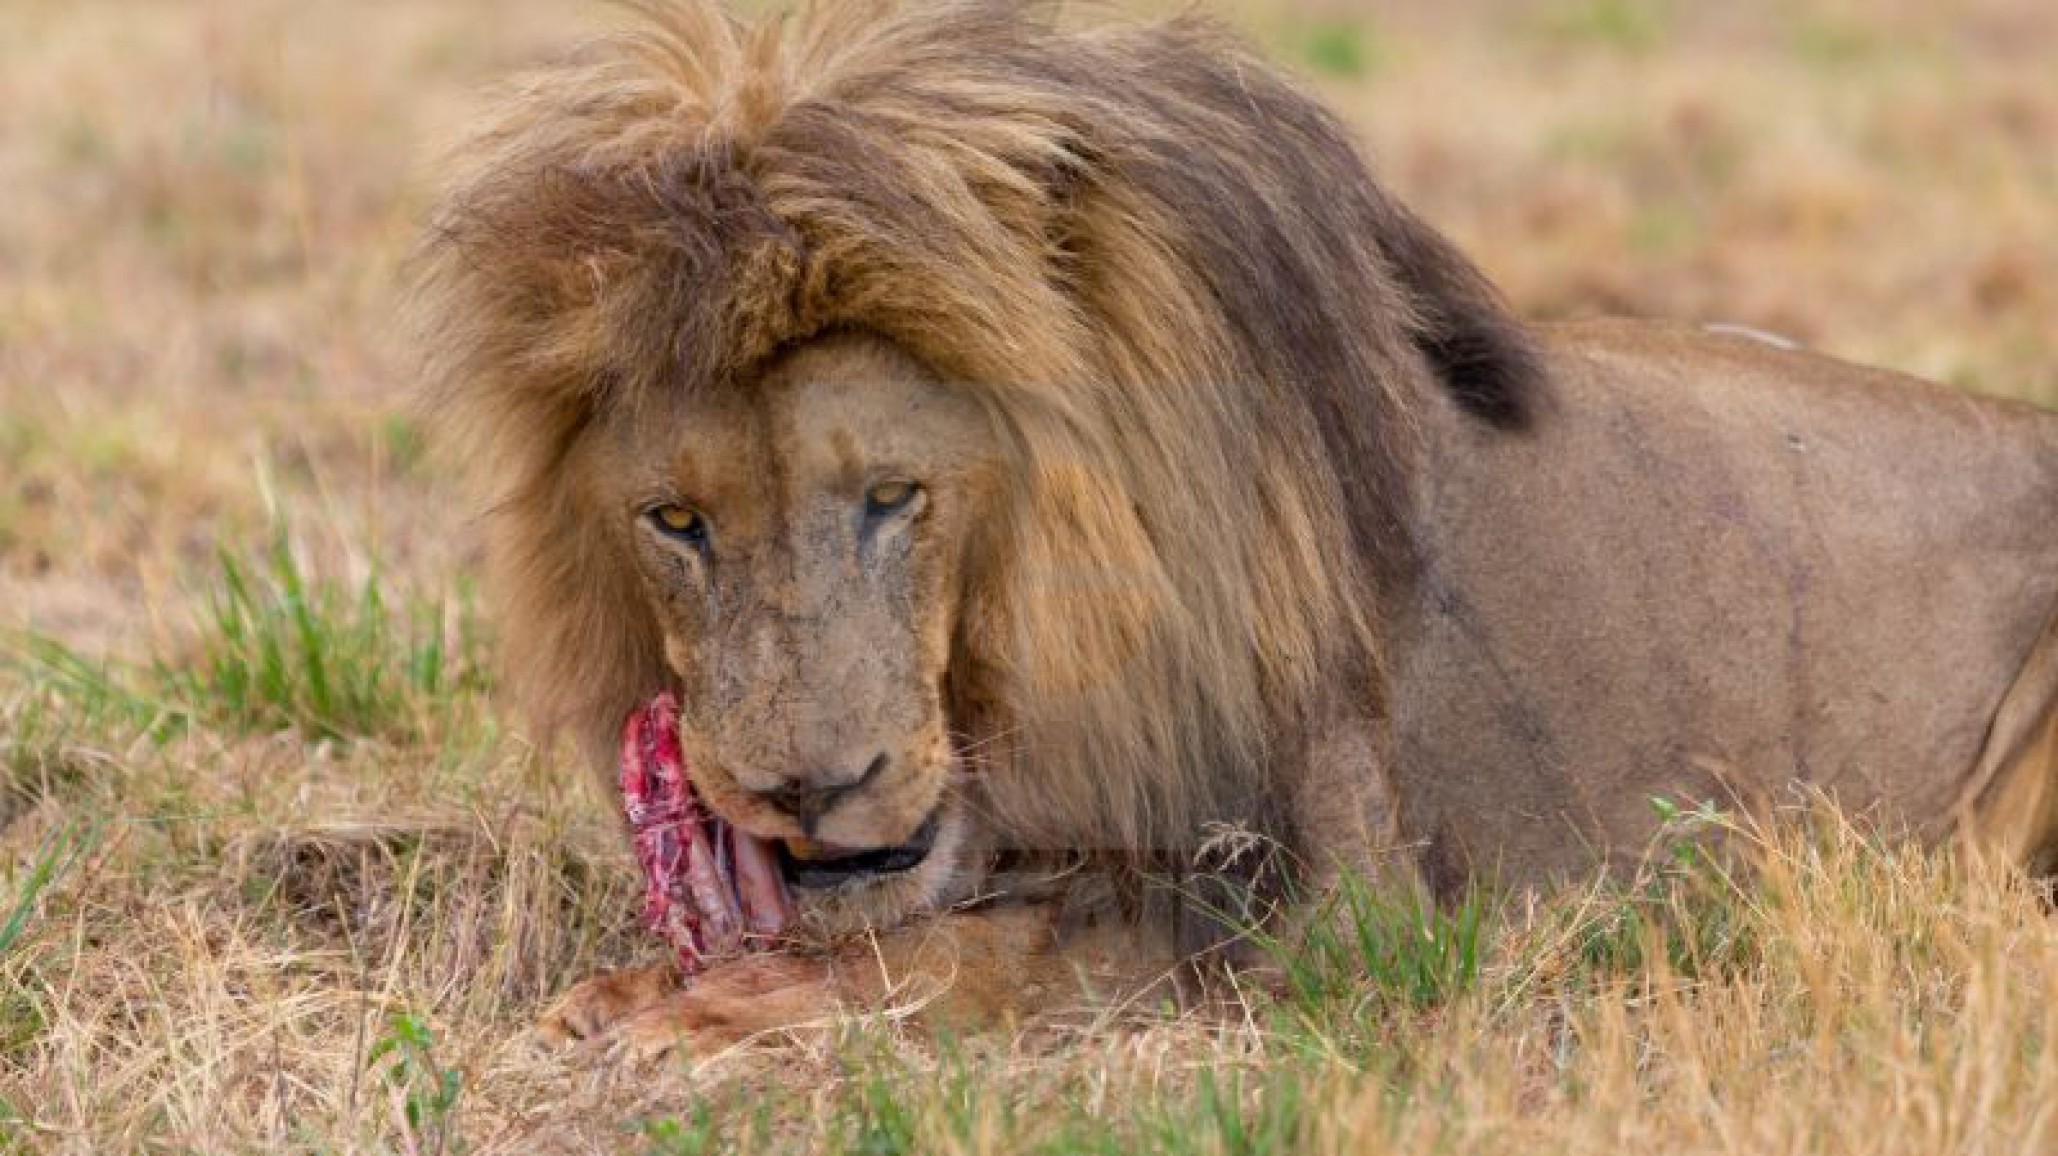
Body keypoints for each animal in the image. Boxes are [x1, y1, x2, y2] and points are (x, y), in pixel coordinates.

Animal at [411, 0, 2058, 1056]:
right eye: (676, 520)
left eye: (894, 495)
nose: (808, 790)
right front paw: (631, 988)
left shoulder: (1363, 912)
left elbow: (1015, 936)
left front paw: (719, 1005)